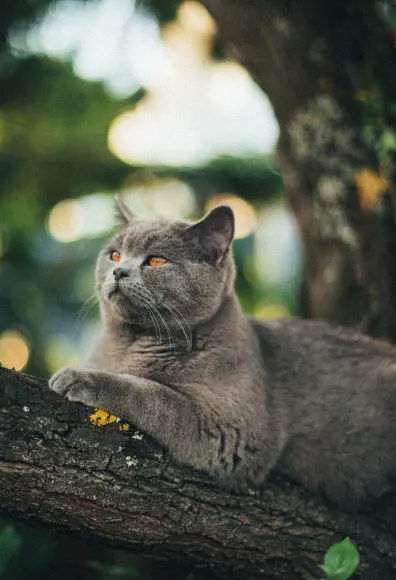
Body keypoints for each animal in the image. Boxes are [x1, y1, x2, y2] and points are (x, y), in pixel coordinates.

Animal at [50, 196, 396, 508]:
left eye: (156, 260)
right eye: (115, 254)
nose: (119, 272)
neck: (129, 343)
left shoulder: (230, 432)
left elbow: (151, 394)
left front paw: (77, 377)